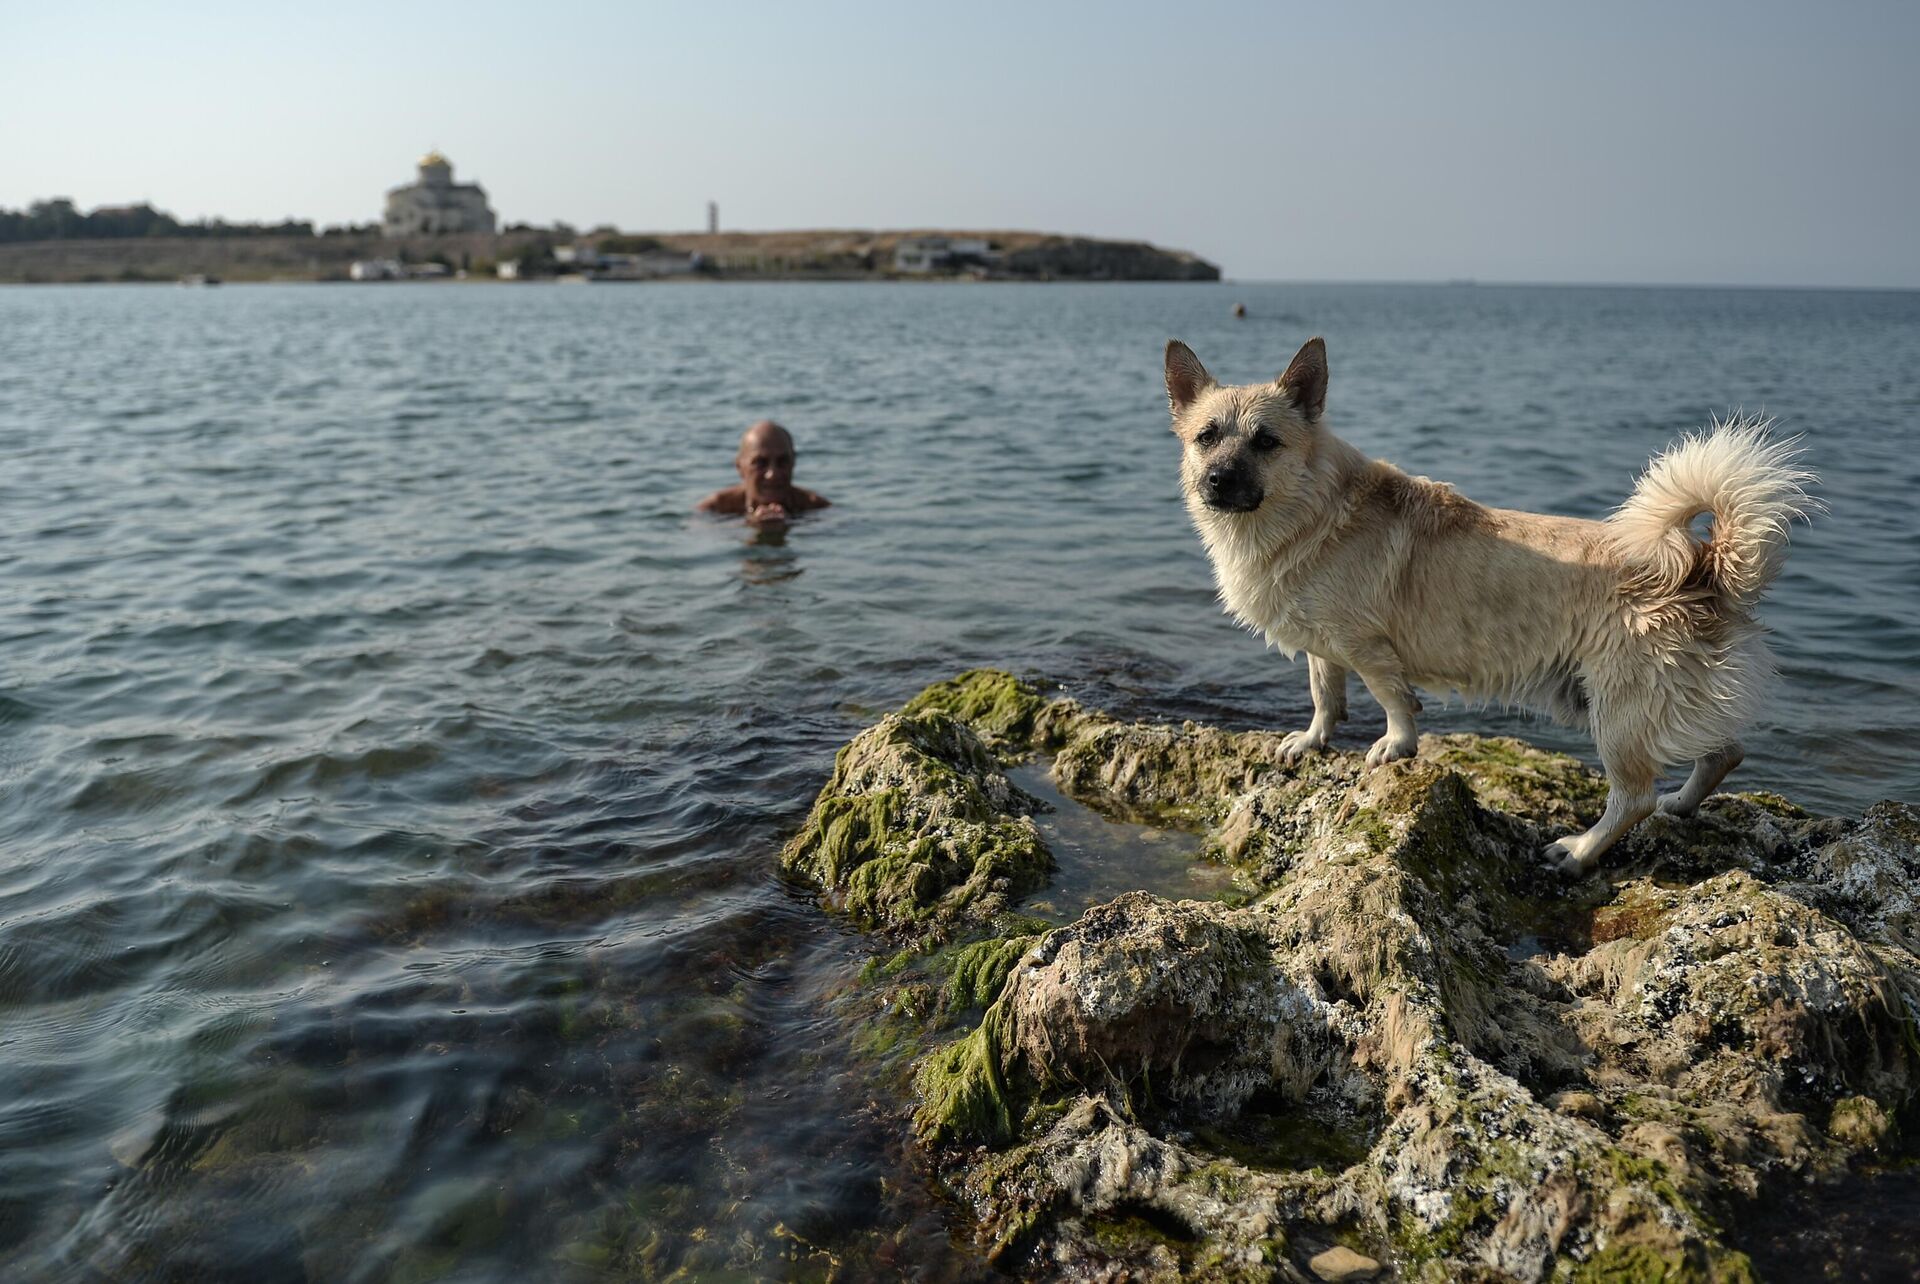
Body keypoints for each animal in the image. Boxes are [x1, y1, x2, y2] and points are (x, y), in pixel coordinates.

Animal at [1167, 333, 1812, 871]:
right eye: (1206, 437)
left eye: (1266, 442)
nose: (1218, 480)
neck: (1306, 511)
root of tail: (1707, 565)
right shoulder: (1324, 645)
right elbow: (1324, 693)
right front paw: (1311, 740)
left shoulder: (1367, 647)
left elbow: (1392, 701)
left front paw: (1395, 748)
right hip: (1655, 702)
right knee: (1723, 753)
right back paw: (1681, 805)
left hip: (1618, 713)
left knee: (1634, 799)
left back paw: (1579, 852)